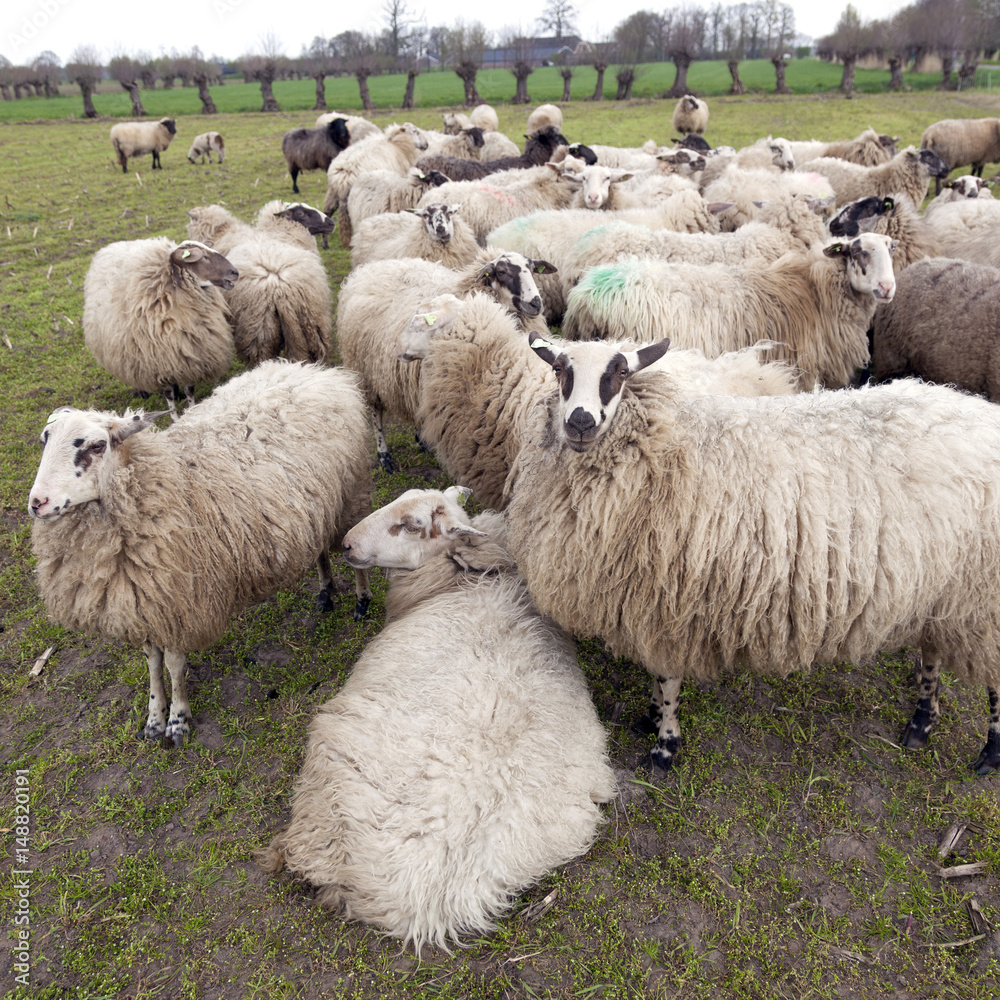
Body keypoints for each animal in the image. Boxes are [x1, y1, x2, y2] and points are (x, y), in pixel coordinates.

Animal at [28, 361, 374, 746]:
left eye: (95, 445)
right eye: (44, 439)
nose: (37, 503)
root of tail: (313, 370)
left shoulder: (182, 602)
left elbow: (174, 665)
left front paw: (178, 721)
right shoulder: (146, 605)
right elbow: (152, 662)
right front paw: (153, 719)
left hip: (351, 496)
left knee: (353, 555)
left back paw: (361, 601)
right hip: (315, 507)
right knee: (319, 549)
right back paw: (325, 592)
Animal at [83, 238, 237, 419]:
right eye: (203, 257)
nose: (235, 272)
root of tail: (113, 245)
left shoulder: (188, 357)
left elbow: (189, 390)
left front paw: (191, 410)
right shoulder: (159, 363)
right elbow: (168, 395)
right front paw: (175, 418)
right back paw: (141, 391)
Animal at [337, 251, 556, 471]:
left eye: (533, 269)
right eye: (501, 272)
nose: (535, 303)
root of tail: (376, 265)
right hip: (367, 370)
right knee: (376, 414)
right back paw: (384, 455)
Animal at [504, 338, 1000, 775]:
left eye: (621, 373)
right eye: (559, 369)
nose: (580, 422)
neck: (658, 448)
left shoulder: (668, 607)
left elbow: (667, 680)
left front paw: (664, 745)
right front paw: (650, 718)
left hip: (983, 599)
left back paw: (990, 753)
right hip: (942, 592)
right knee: (933, 651)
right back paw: (922, 722)